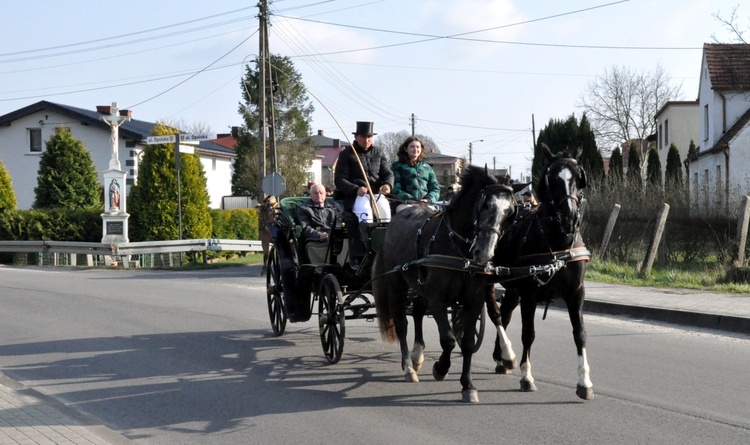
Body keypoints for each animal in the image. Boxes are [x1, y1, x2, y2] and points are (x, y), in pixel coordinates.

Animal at [374, 166, 520, 402]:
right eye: (485, 205)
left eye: (509, 213)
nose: (484, 252)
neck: (458, 249)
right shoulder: (437, 298)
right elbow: (448, 339)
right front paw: (441, 368)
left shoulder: (473, 300)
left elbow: (467, 343)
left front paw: (468, 385)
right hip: (397, 284)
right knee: (402, 324)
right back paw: (408, 367)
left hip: (418, 286)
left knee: (417, 312)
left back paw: (417, 355)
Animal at [490, 144, 596, 400]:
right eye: (553, 179)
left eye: (578, 177)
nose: (569, 217)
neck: (557, 243)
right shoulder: (530, 294)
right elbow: (528, 333)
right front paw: (527, 376)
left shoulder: (576, 292)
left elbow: (580, 333)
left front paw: (584, 381)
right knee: (495, 314)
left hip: (513, 287)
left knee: (505, 314)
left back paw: (502, 358)